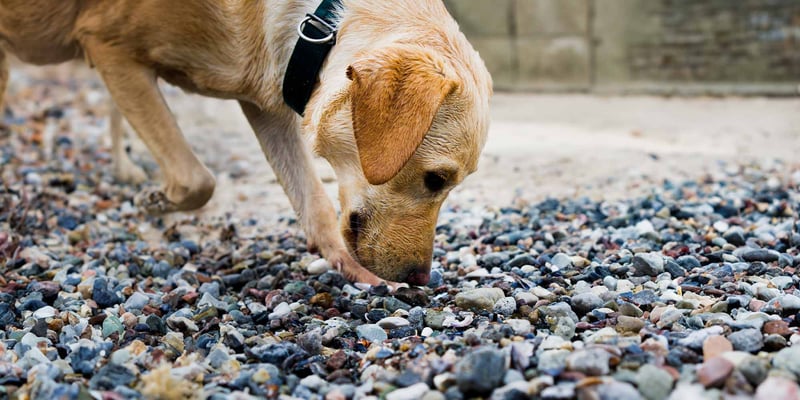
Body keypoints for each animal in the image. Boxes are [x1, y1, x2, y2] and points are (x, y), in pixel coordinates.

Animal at [0, 0, 494, 288]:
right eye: (436, 179)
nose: (421, 280)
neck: (319, 23)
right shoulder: (111, 49)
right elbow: (197, 178)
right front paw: (157, 201)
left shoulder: (267, 103)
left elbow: (315, 204)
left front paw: (349, 269)